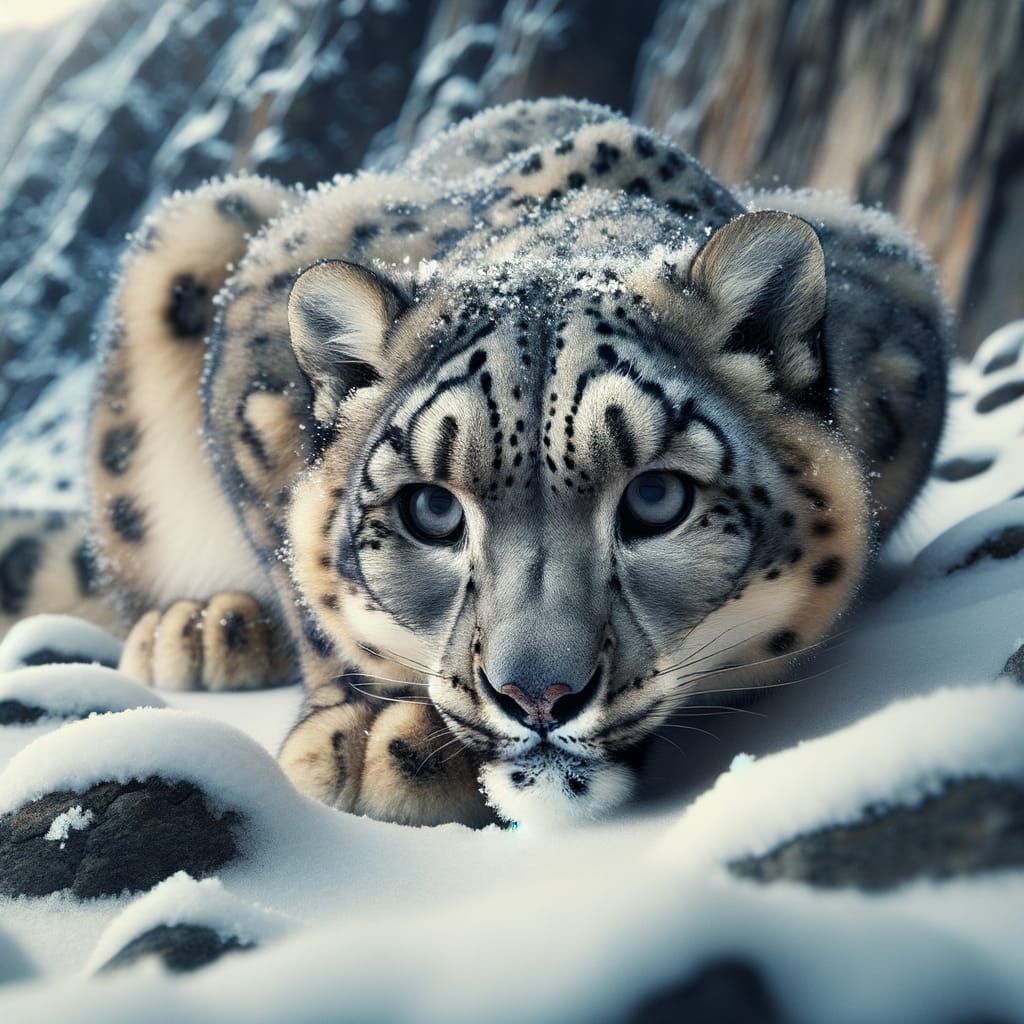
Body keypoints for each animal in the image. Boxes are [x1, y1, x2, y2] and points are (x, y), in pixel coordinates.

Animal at [0, 98, 949, 828]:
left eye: (656, 499)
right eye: (432, 510)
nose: (539, 697)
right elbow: (303, 573)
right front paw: (367, 734)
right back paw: (205, 624)